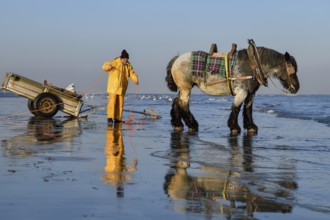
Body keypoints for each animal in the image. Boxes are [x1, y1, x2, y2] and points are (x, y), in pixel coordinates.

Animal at [165, 40, 300, 135]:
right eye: (291, 69)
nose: (296, 87)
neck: (253, 64)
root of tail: (177, 59)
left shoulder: (250, 93)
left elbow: (248, 109)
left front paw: (251, 127)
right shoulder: (241, 92)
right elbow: (236, 108)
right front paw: (234, 127)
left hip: (183, 88)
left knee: (177, 102)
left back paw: (178, 124)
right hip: (186, 88)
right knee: (183, 104)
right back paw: (192, 125)